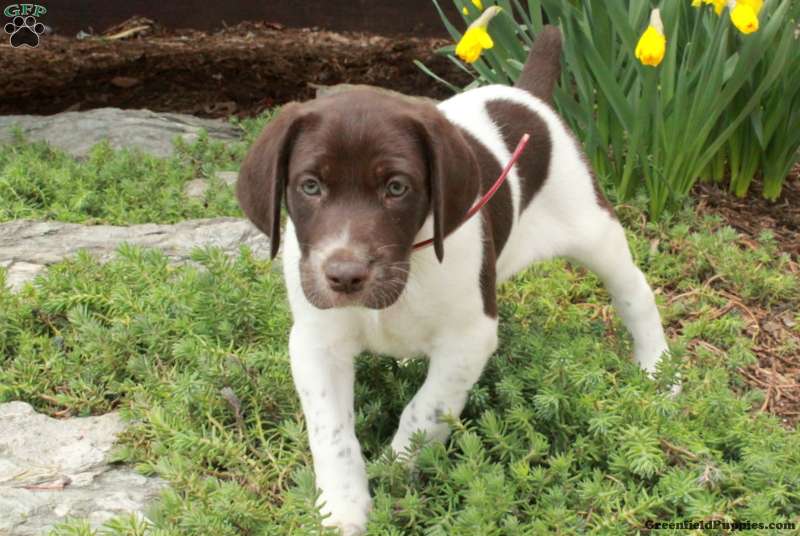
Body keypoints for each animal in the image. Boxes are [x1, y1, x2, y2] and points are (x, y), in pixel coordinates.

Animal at [236, 26, 669, 535]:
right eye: (309, 186)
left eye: (397, 188)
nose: (344, 276)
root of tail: (525, 96)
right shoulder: (316, 342)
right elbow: (333, 434)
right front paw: (343, 509)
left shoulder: (469, 338)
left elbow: (423, 411)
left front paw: (397, 473)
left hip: (593, 229)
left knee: (635, 293)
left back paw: (659, 370)